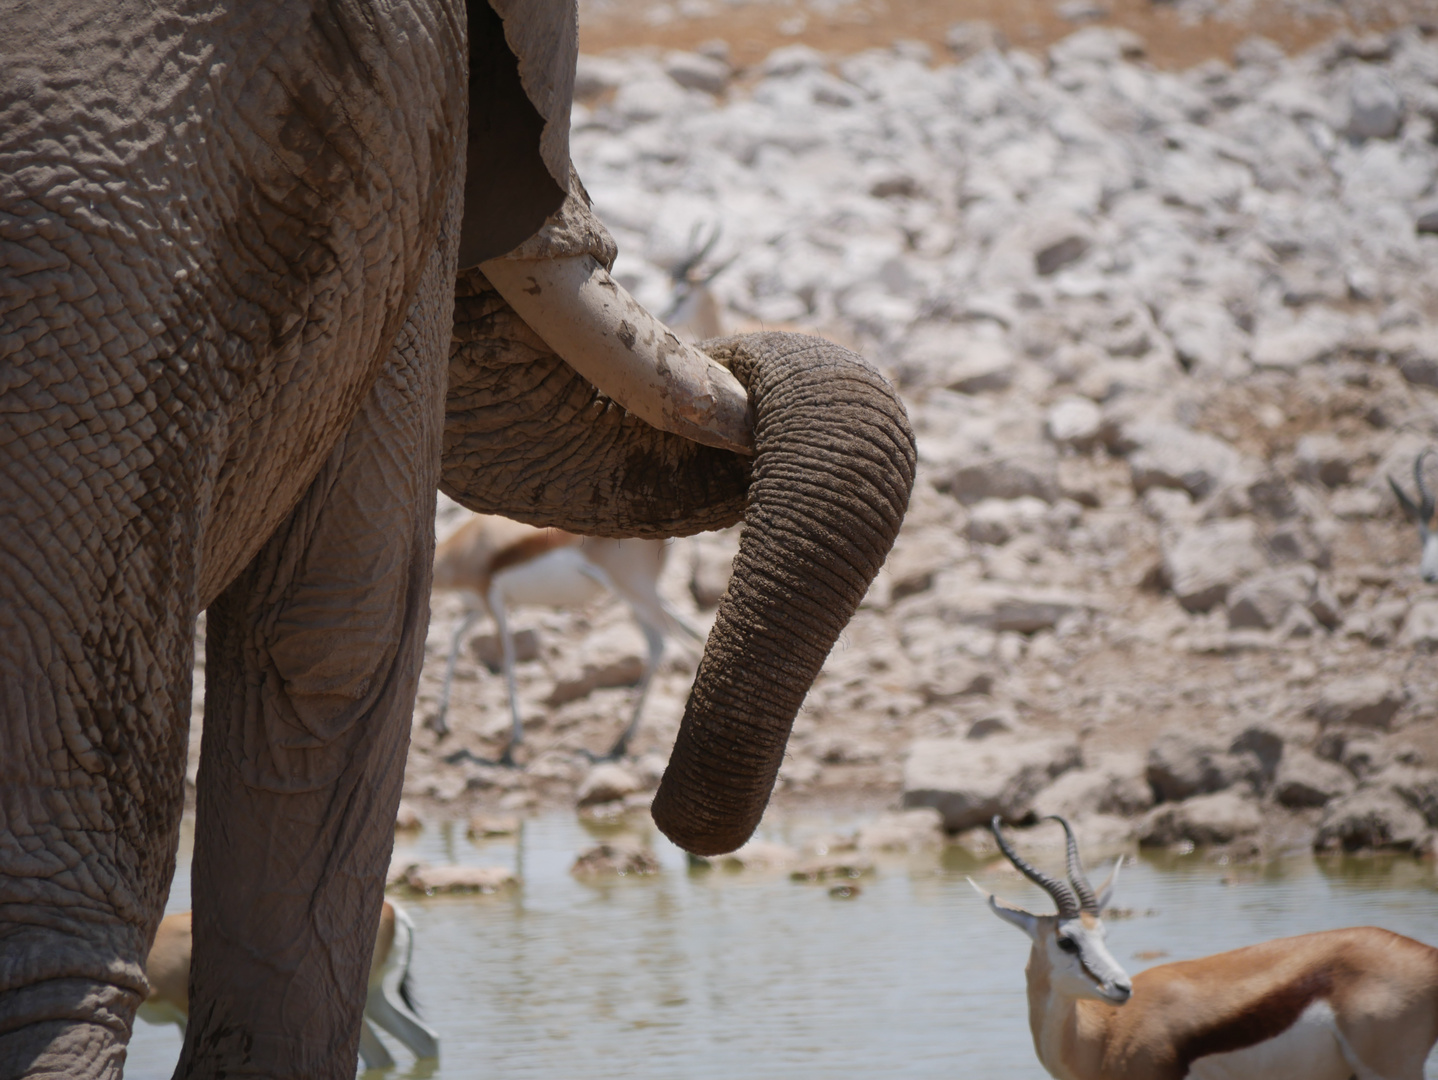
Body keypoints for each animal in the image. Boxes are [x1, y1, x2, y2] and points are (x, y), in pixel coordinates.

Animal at [425, 511, 701, 759]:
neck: (467, 546)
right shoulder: (479, 608)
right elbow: (455, 635)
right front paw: (441, 723)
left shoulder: (492, 601)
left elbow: (507, 659)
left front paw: (514, 740)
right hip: (639, 597)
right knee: (674, 637)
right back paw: (622, 741)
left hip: (634, 591)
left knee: (679, 644)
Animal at [972, 816, 1438, 1080]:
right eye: (1067, 940)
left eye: (1103, 935)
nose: (1121, 988)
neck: (1103, 1037)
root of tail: (1425, 955)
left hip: (1390, 1070)